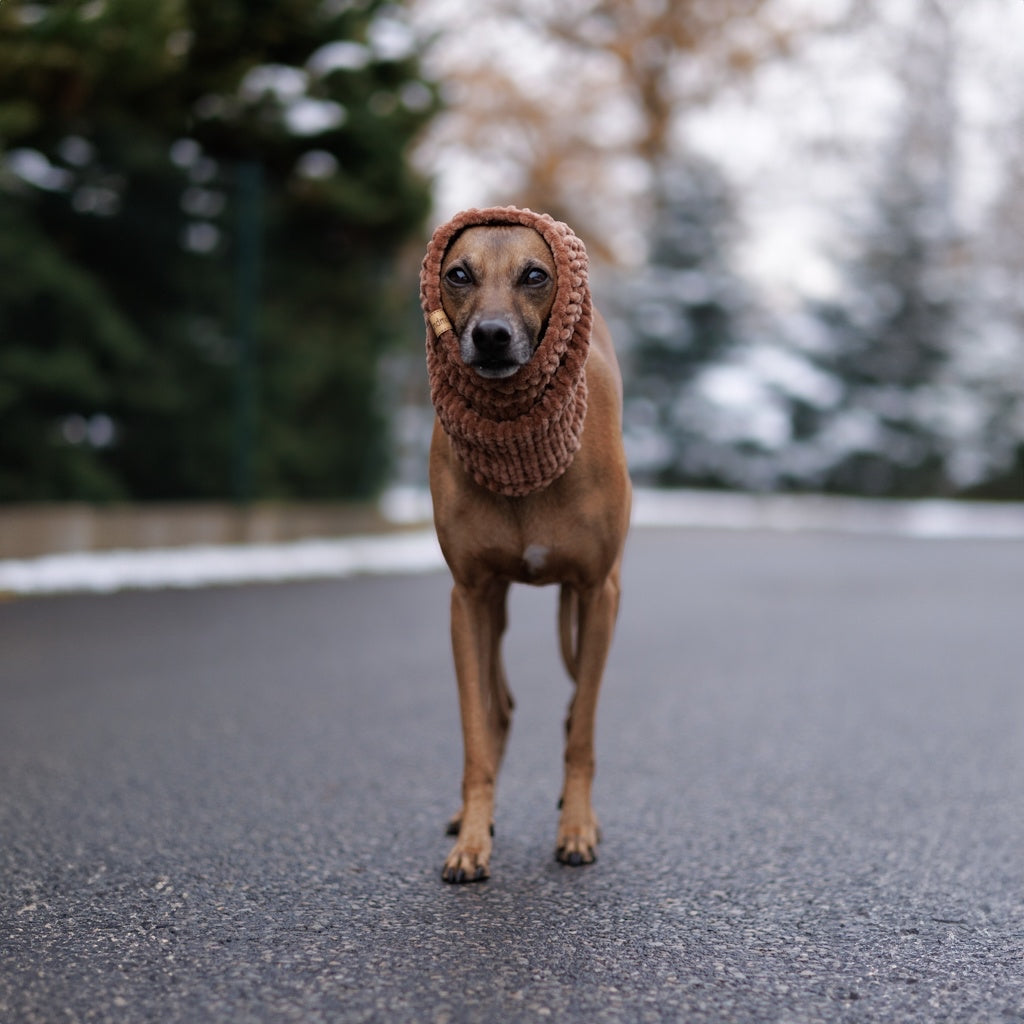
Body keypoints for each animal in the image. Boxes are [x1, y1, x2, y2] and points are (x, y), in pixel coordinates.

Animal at [419, 207, 626, 880]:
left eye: (535, 275)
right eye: (458, 274)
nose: (490, 337)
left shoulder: (599, 592)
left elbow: (581, 728)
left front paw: (577, 828)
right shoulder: (467, 598)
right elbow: (476, 733)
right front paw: (472, 838)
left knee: (571, 707)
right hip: (495, 608)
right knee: (501, 706)